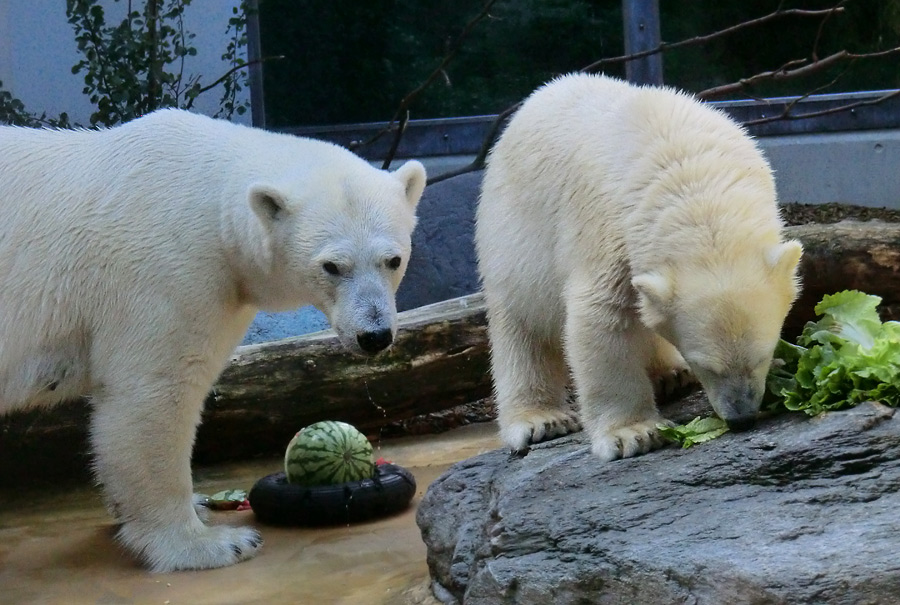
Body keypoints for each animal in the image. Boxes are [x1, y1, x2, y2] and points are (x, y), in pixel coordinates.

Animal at [0, 109, 428, 572]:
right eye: (331, 266)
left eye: (393, 259)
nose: (374, 335)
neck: (208, 194)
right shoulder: (164, 269)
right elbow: (154, 392)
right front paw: (209, 543)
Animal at [474, 74, 804, 462]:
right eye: (705, 364)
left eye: (762, 356)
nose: (742, 418)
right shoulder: (611, 230)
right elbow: (602, 316)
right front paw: (632, 433)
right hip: (512, 237)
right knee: (522, 327)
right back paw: (540, 419)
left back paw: (670, 375)